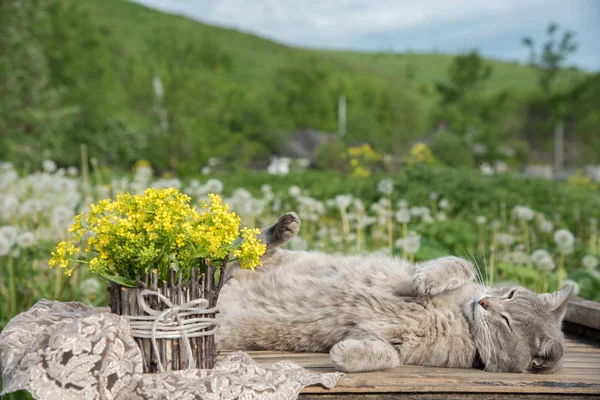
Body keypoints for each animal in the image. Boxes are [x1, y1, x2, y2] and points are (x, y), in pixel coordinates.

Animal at [218, 214, 576, 374]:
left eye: (507, 322)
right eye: (511, 293)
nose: (486, 302)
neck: (461, 316)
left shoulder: (401, 347)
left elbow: (388, 357)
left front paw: (345, 354)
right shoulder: (439, 272)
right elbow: (460, 264)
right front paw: (428, 279)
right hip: (259, 259)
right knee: (247, 248)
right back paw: (283, 227)